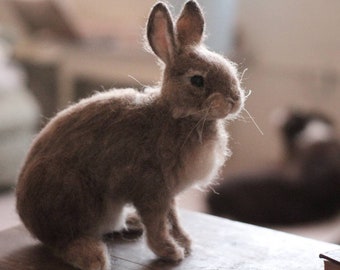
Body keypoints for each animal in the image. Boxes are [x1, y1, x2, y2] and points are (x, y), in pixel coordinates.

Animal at [15, 1, 244, 268]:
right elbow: (157, 225)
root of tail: (29, 219)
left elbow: (173, 217)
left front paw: (185, 243)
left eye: (229, 67)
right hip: (74, 196)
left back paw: (131, 223)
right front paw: (171, 252)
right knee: (64, 241)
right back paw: (93, 256)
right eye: (197, 80)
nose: (234, 100)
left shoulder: (168, 194)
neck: (176, 115)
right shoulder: (152, 189)